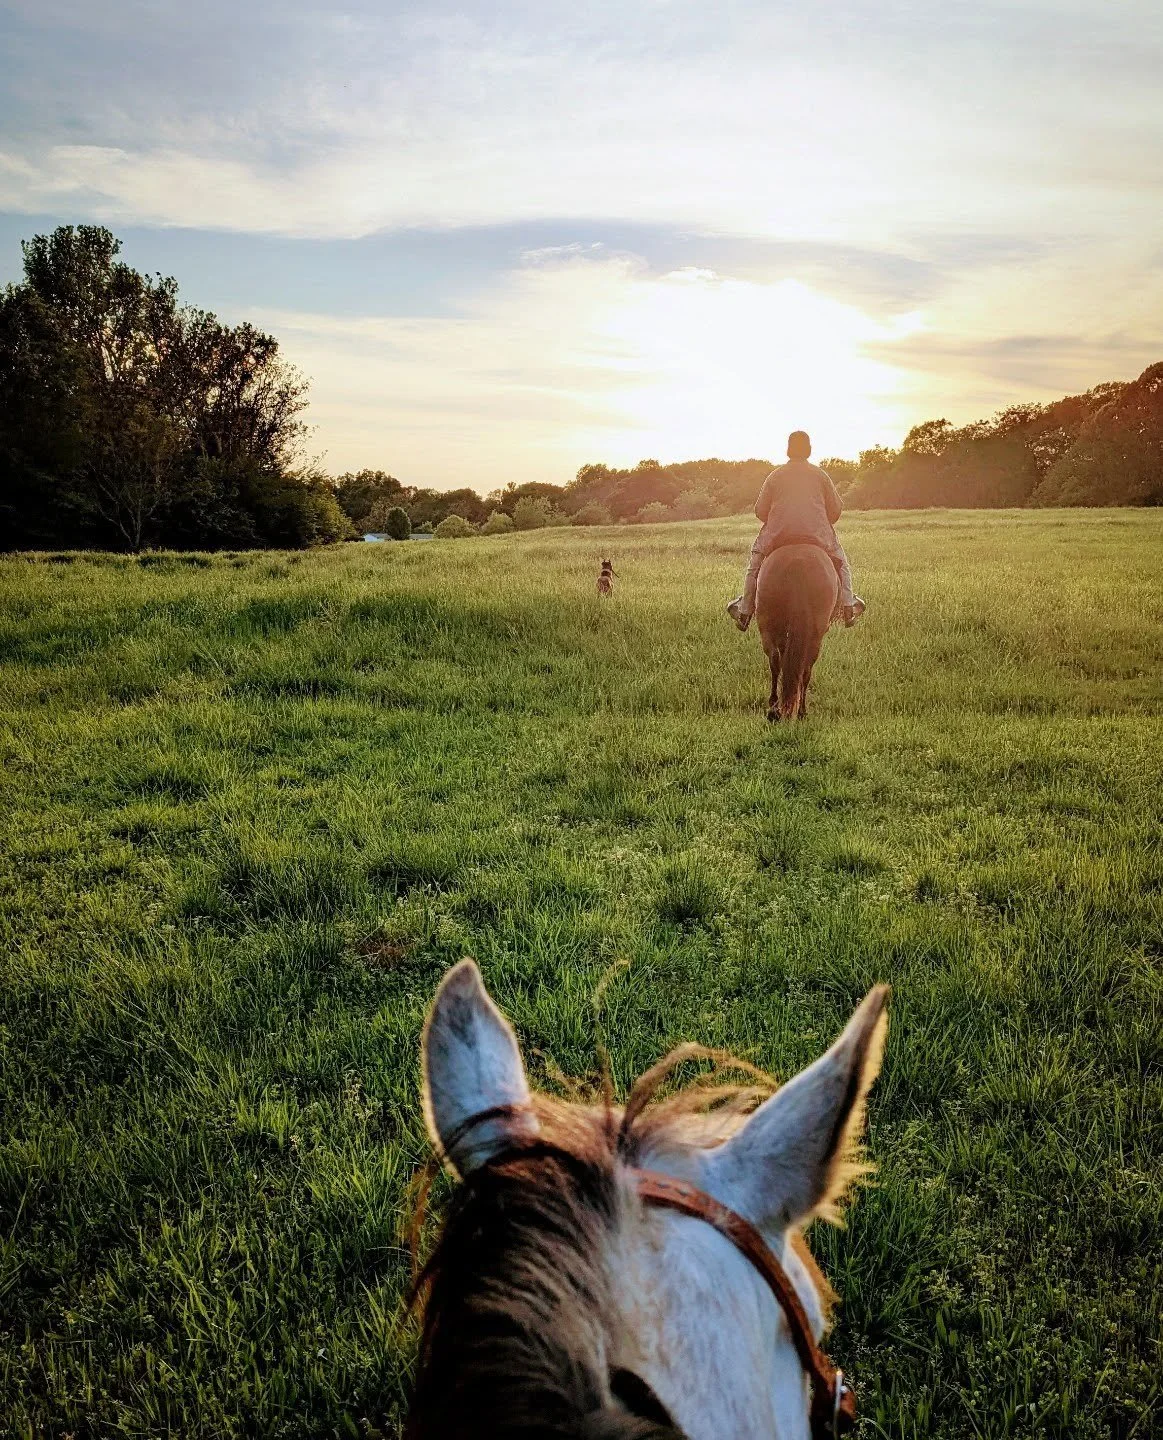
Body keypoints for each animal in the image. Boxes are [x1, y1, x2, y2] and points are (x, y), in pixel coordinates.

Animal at [755, 543, 839, 722]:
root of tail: (798, 564)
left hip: (767, 625)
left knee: (776, 661)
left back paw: (774, 710)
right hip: (814, 635)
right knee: (804, 668)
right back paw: (799, 711)